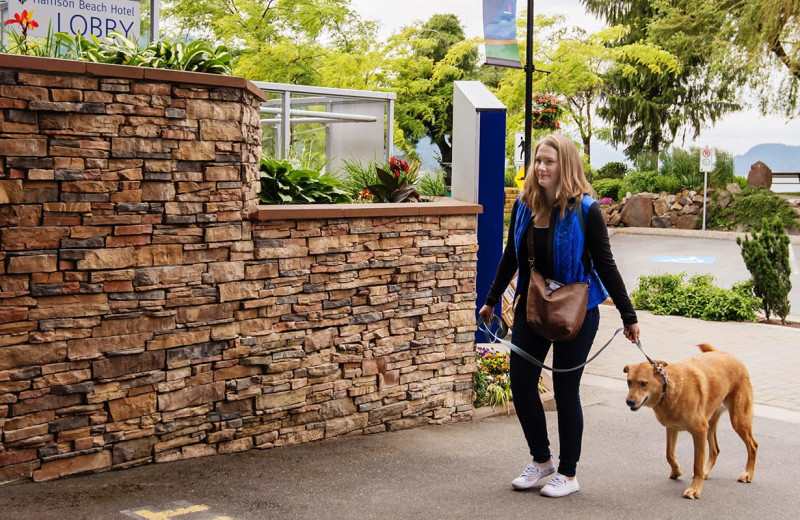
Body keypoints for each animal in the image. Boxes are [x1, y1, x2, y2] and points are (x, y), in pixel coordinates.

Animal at [620, 344, 760, 498]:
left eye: (643, 383)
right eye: (629, 382)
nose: (629, 402)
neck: (668, 388)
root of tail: (727, 354)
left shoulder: (699, 431)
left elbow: (697, 464)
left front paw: (695, 489)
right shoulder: (672, 428)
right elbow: (669, 454)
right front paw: (676, 470)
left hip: (738, 420)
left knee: (753, 445)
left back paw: (747, 474)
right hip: (710, 424)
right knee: (715, 450)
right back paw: (706, 472)